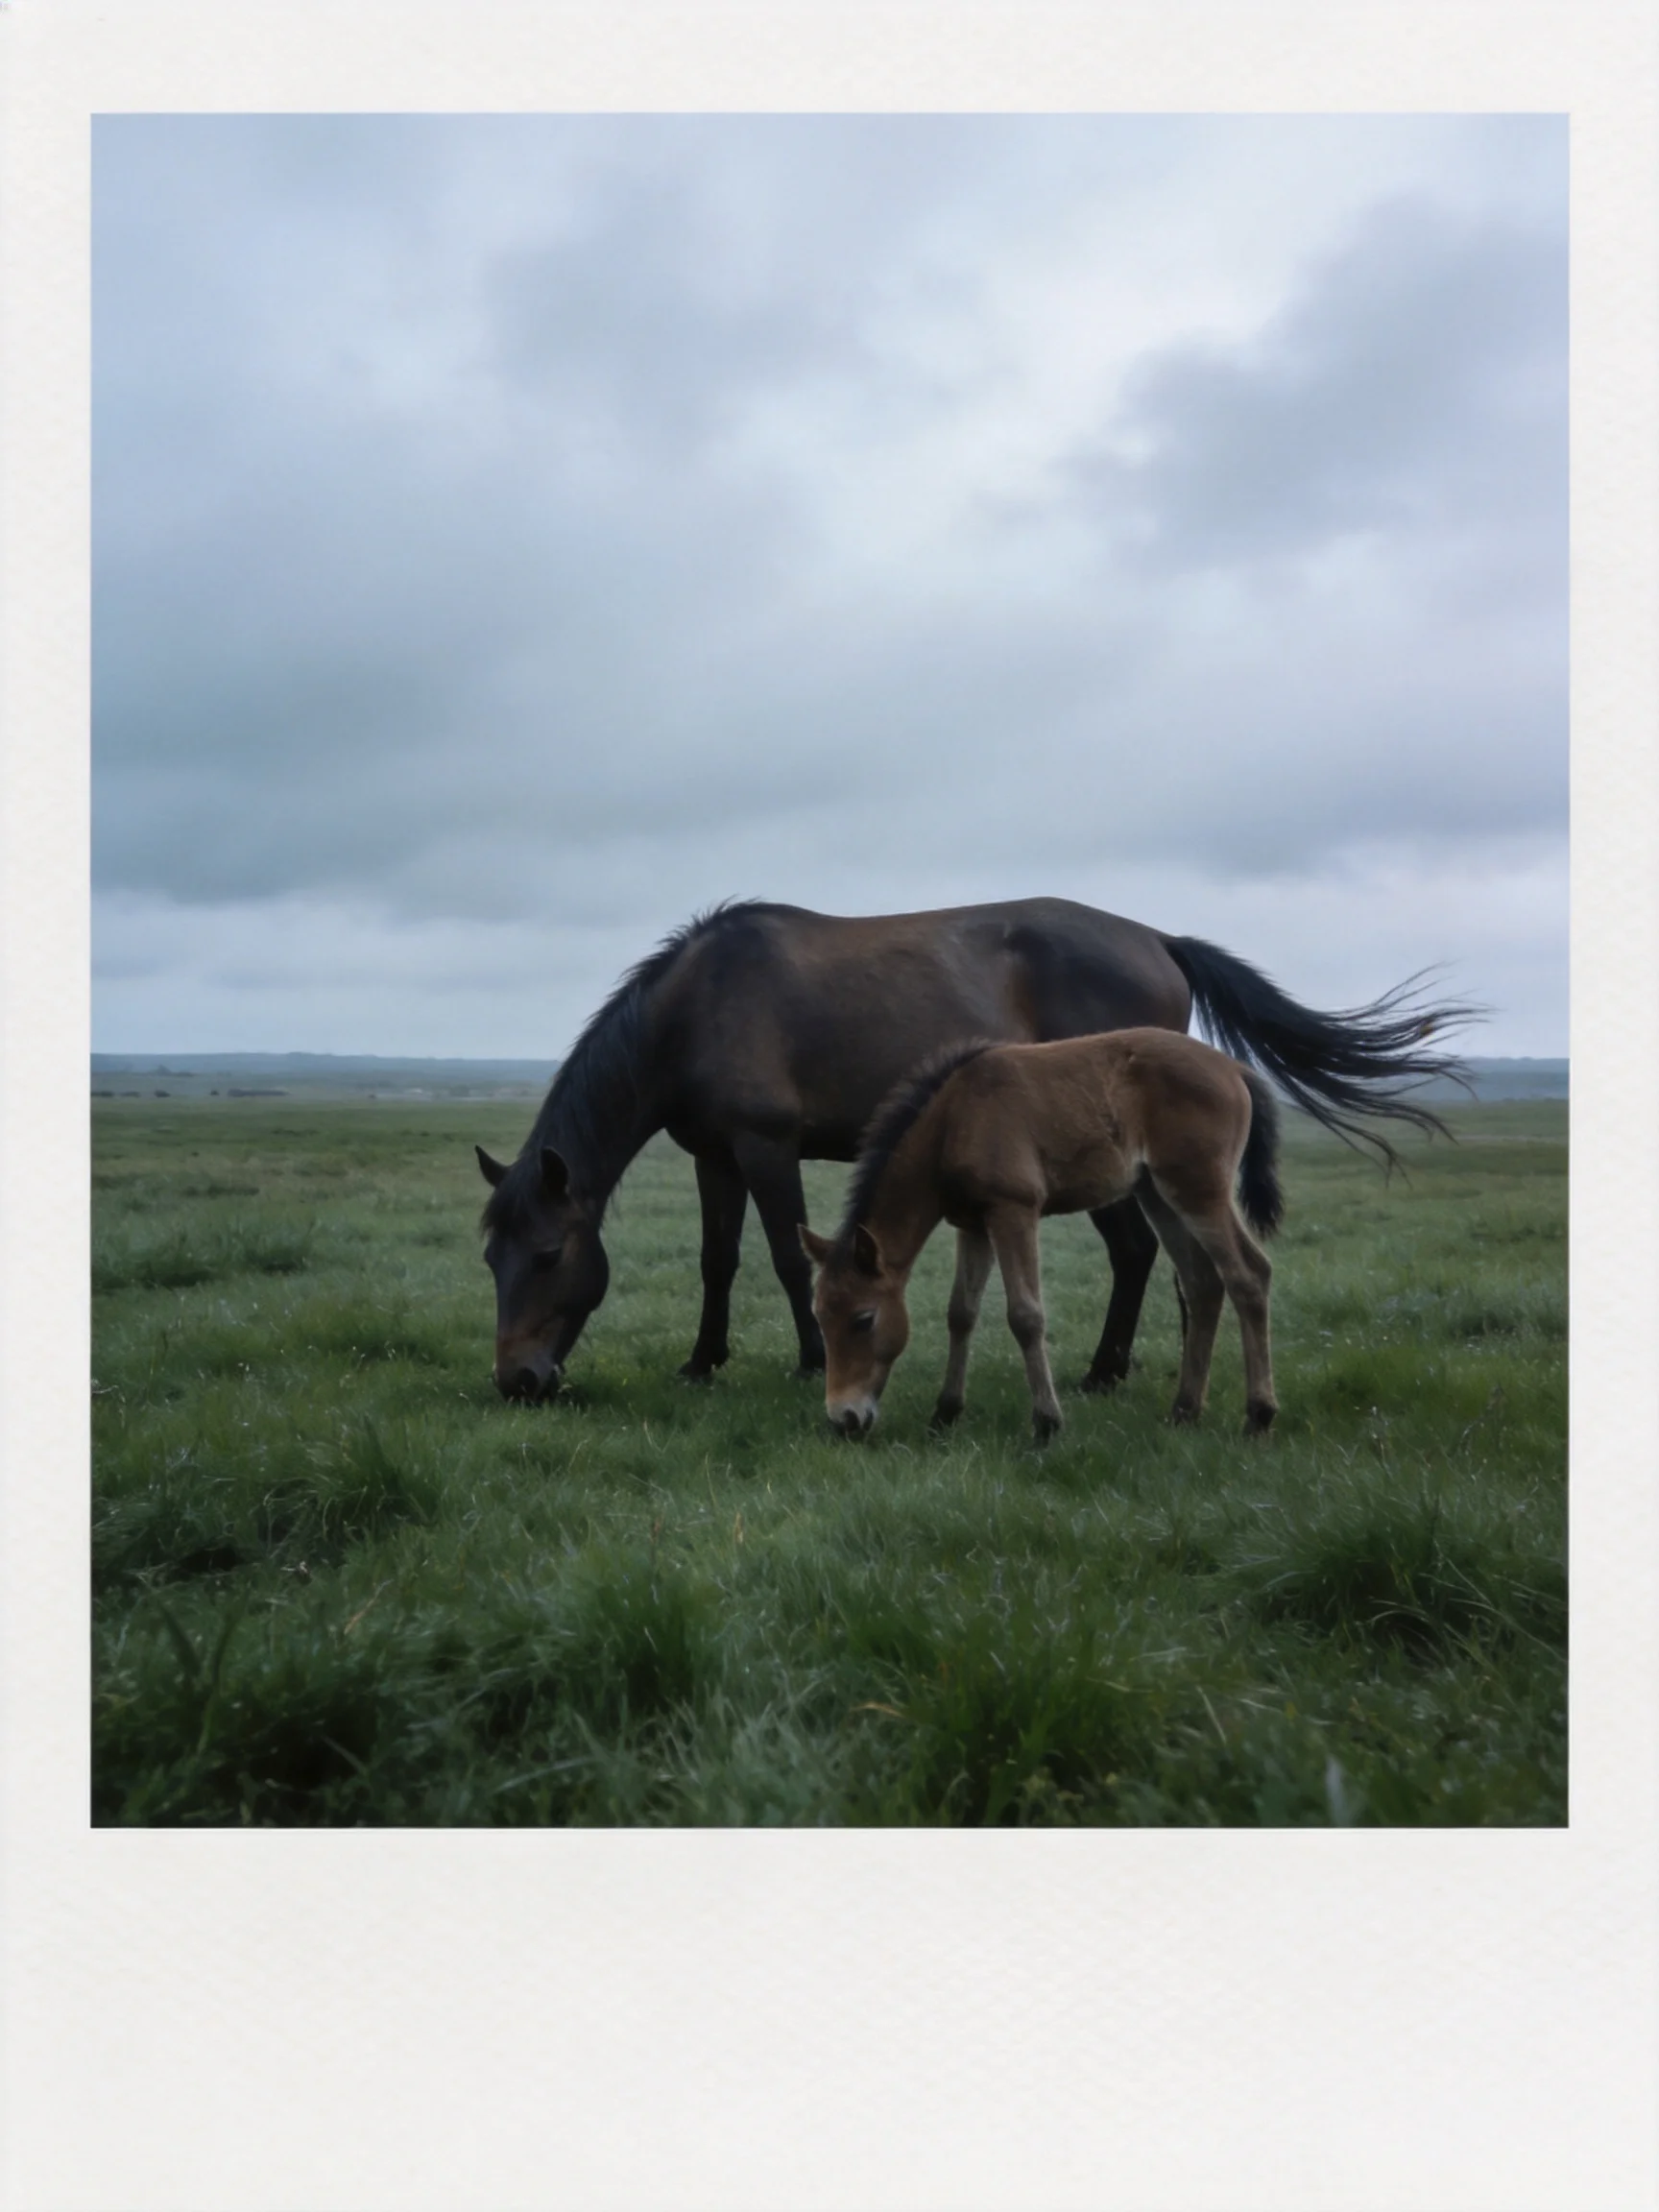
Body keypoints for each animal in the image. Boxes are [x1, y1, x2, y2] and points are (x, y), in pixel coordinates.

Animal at [476, 897, 1474, 1402]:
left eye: (550, 1254)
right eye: (491, 1259)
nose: (518, 1381)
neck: (696, 1003)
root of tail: (1159, 938)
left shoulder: (766, 1147)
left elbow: (786, 1258)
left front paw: (808, 1360)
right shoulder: (713, 1154)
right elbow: (717, 1259)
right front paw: (702, 1361)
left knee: (1138, 1252)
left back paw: (1104, 1372)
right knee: (1153, 1257)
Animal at [799, 1029, 1284, 1445]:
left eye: (863, 1319)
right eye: (820, 1316)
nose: (844, 1418)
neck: (955, 1119)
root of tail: (1235, 1069)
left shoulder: (1014, 1210)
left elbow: (1026, 1315)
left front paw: (1047, 1423)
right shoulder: (972, 1225)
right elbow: (961, 1313)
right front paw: (945, 1414)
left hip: (1199, 1189)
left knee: (1249, 1274)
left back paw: (1259, 1414)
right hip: (1158, 1193)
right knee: (1203, 1283)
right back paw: (1184, 1410)